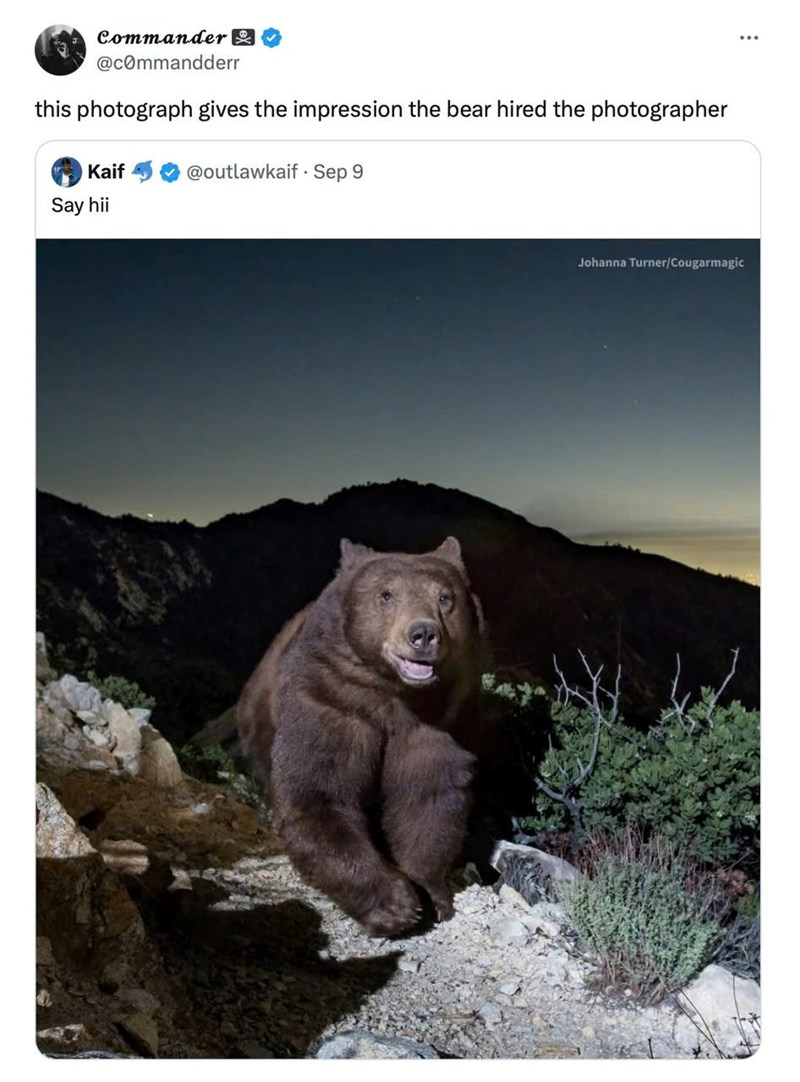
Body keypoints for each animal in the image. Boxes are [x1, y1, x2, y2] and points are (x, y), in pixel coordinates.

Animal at [236, 536, 486, 936]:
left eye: (445, 598)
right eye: (386, 595)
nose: (423, 634)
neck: (396, 697)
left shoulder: (440, 724)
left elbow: (427, 799)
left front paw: (432, 893)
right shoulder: (331, 702)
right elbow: (319, 794)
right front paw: (395, 904)